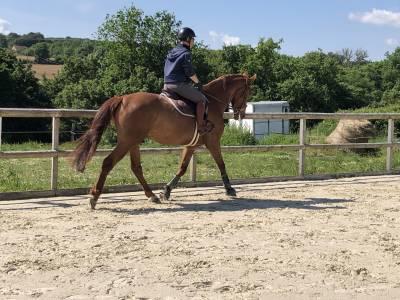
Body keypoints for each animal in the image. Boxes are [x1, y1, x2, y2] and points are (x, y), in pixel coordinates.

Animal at [72, 73, 256, 209]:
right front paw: (230, 189)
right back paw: (94, 196)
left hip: (133, 142)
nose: (241, 113)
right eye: (247, 92)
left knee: (136, 167)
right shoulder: (212, 141)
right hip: (127, 141)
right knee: (108, 162)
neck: (213, 102)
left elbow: (182, 168)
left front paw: (166, 191)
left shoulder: (191, 145)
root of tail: (123, 98)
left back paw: (152, 196)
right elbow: (221, 164)